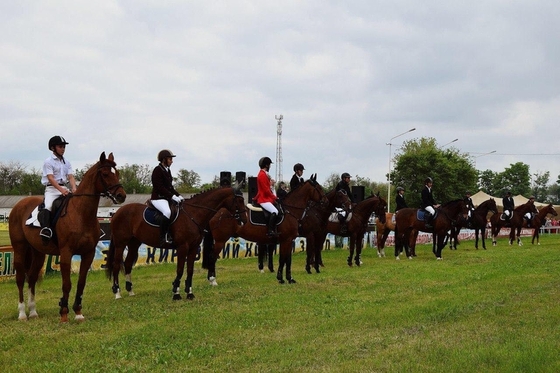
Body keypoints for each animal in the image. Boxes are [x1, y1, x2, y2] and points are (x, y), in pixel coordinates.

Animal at [9, 153, 126, 322]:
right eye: (105, 174)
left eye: (116, 173)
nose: (121, 196)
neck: (81, 213)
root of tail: (19, 205)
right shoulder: (66, 253)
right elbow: (67, 284)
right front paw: (63, 312)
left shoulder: (88, 254)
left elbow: (81, 283)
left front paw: (78, 312)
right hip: (20, 248)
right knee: (19, 278)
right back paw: (23, 313)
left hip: (38, 253)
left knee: (31, 277)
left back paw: (33, 312)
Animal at [105, 186, 245, 300]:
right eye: (239, 201)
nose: (244, 220)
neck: (193, 214)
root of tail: (117, 212)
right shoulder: (183, 247)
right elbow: (180, 270)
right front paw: (176, 293)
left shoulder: (193, 247)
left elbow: (190, 270)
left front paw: (189, 293)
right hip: (120, 243)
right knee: (116, 265)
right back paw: (117, 293)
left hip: (134, 243)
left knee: (128, 264)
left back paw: (130, 291)